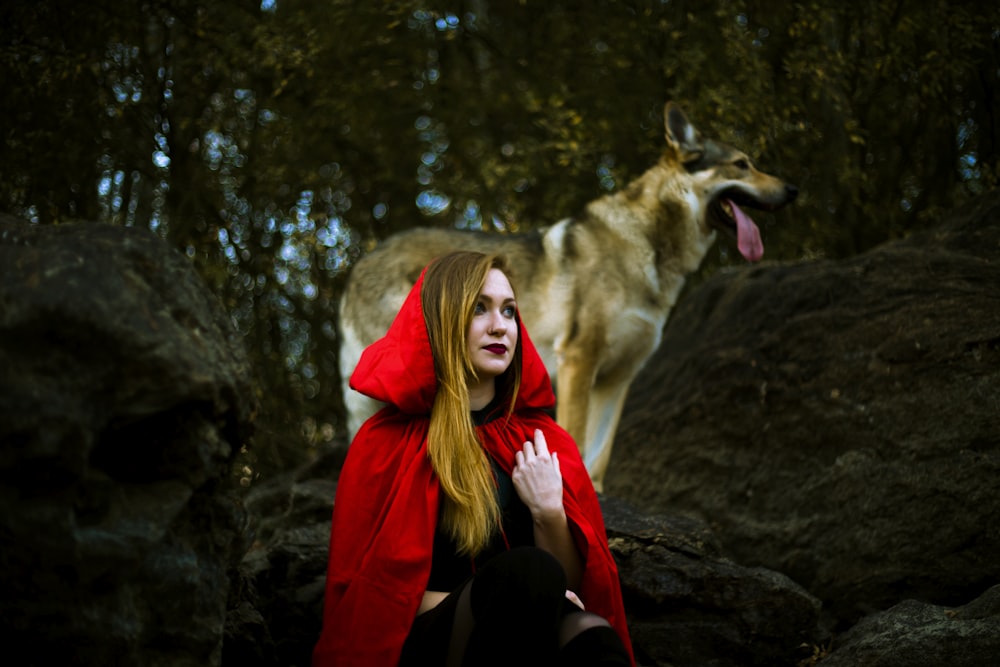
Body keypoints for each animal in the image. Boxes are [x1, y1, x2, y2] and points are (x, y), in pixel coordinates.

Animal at [338, 103, 796, 490]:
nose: (792, 190)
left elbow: (600, 455)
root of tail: (359, 265)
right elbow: (574, 436)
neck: (648, 247)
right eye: (742, 164)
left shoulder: (618, 377)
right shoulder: (579, 358)